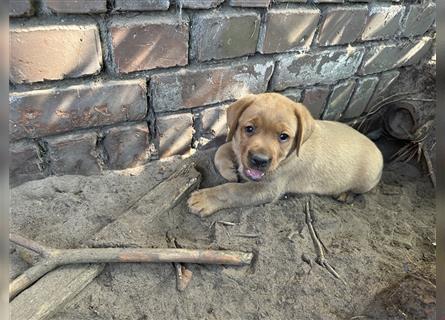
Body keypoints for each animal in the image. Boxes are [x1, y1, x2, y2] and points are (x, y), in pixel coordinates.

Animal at [186, 92, 382, 218]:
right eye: (249, 129)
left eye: (283, 137)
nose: (259, 160)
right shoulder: (238, 147)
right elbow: (223, 149)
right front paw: (229, 171)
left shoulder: (267, 189)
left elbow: (233, 190)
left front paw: (204, 199)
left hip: (367, 180)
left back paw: (345, 194)